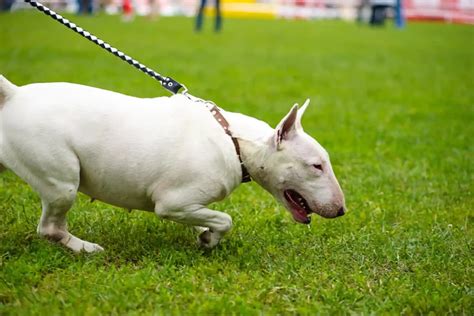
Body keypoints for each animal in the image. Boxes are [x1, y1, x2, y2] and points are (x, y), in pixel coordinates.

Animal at [0, 76, 344, 252]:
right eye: (316, 166)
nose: (341, 211)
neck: (234, 141)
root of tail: (15, 95)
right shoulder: (173, 203)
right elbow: (225, 219)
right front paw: (209, 240)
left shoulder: (190, 205)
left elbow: (209, 217)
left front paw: (203, 232)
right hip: (61, 182)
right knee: (49, 228)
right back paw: (86, 248)